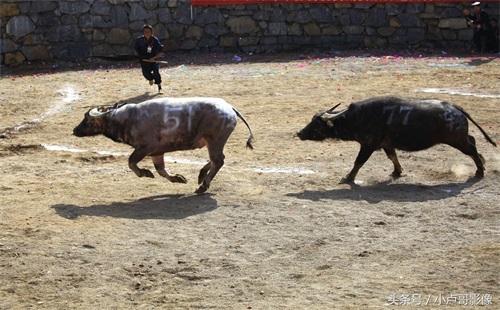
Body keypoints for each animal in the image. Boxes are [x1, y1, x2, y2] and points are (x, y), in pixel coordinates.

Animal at [73, 97, 254, 194]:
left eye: (87, 119)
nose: (75, 130)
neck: (128, 118)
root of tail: (229, 107)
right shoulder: (156, 153)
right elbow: (161, 171)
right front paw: (178, 178)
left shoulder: (145, 148)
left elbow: (131, 162)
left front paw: (144, 173)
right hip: (212, 142)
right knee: (218, 159)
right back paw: (201, 175)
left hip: (214, 141)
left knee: (218, 161)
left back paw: (203, 185)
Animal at [296, 95, 496, 183]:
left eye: (316, 123)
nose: (299, 133)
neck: (358, 117)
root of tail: (455, 108)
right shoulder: (387, 144)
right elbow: (393, 156)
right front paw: (397, 172)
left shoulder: (368, 145)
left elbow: (358, 162)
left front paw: (348, 177)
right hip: (460, 138)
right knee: (473, 141)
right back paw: (483, 164)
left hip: (457, 141)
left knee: (472, 149)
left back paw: (480, 170)